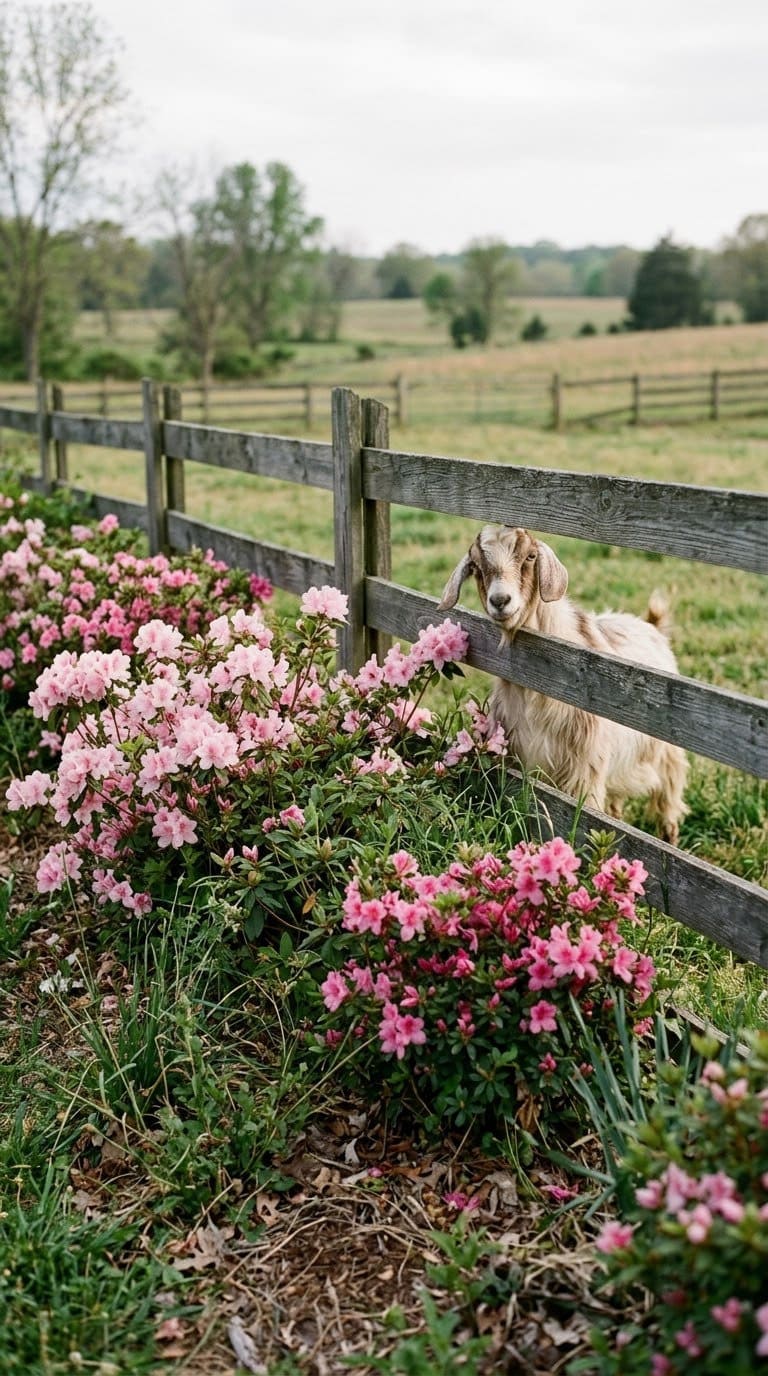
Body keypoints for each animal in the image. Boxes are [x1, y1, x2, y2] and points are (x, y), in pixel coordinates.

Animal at [437, 524, 687, 844]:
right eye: (476, 567)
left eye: (530, 556)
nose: (500, 600)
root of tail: (650, 624)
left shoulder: (583, 772)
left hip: (666, 757)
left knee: (668, 800)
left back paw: (669, 837)